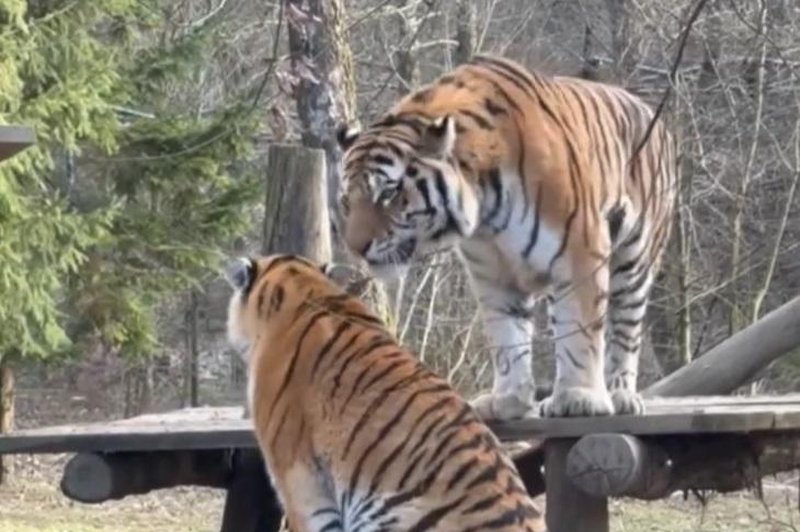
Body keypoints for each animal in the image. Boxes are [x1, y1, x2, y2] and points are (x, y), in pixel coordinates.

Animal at [334, 54, 680, 420]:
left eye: (388, 193)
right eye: (346, 200)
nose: (356, 248)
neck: (484, 202)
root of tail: (651, 114)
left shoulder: (581, 249)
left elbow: (580, 328)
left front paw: (580, 398)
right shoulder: (492, 270)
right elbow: (506, 335)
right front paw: (508, 400)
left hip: (635, 259)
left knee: (625, 326)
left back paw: (621, 393)